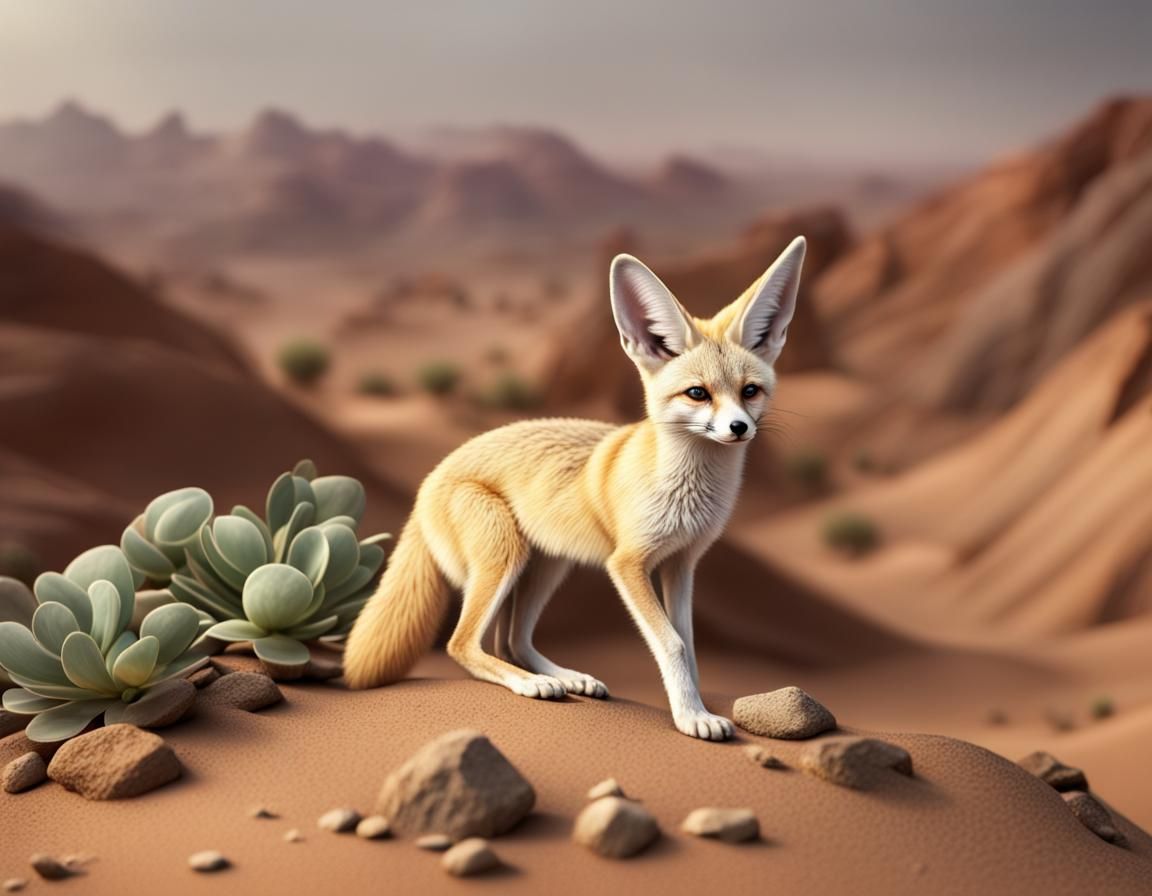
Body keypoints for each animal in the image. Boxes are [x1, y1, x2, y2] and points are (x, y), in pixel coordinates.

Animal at [344, 236, 807, 739]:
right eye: (698, 394)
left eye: (750, 391)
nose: (739, 428)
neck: (687, 491)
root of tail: (432, 475)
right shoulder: (627, 564)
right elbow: (672, 644)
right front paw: (691, 717)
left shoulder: (682, 564)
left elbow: (688, 642)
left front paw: (695, 707)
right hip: (504, 558)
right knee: (462, 644)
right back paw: (531, 684)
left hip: (545, 565)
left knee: (511, 640)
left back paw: (565, 677)